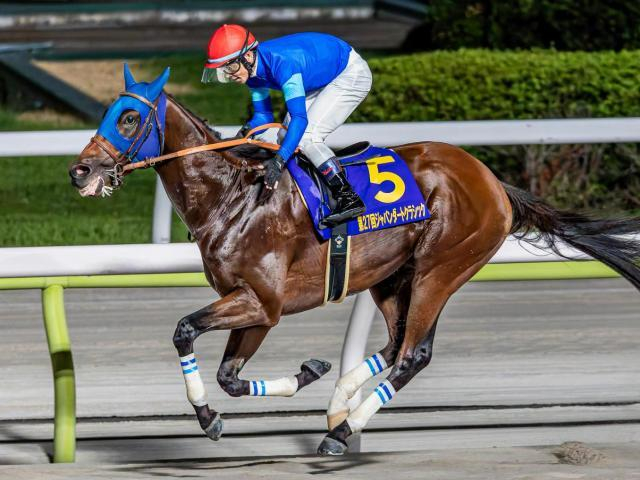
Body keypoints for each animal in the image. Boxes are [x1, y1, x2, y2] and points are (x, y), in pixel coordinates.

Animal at [69, 66, 640, 455]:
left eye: (129, 117)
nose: (80, 170)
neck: (233, 196)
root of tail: (493, 181)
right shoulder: (253, 307)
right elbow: (230, 375)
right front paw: (304, 374)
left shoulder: (263, 302)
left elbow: (185, 330)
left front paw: (213, 414)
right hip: (391, 278)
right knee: (394, 345)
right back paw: (341, 402)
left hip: (440, 269)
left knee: (413, 354)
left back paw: (343, 429)